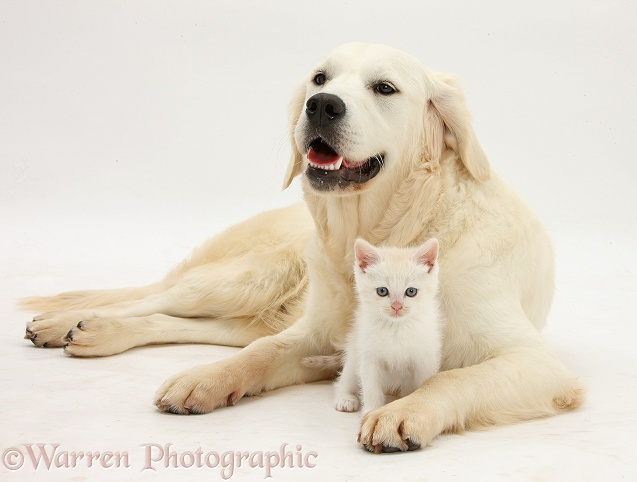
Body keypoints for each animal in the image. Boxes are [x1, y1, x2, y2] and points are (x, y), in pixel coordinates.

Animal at [332, 237, 442, 414]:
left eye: (411, 291)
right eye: (382, 291)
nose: (397, 306)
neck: (396, 327)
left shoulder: (425, 357)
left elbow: (425, 385)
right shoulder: (369, 356)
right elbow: (370, 386)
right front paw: (371, 410)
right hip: (354, 352)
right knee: (345, 378)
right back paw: (345, 398)